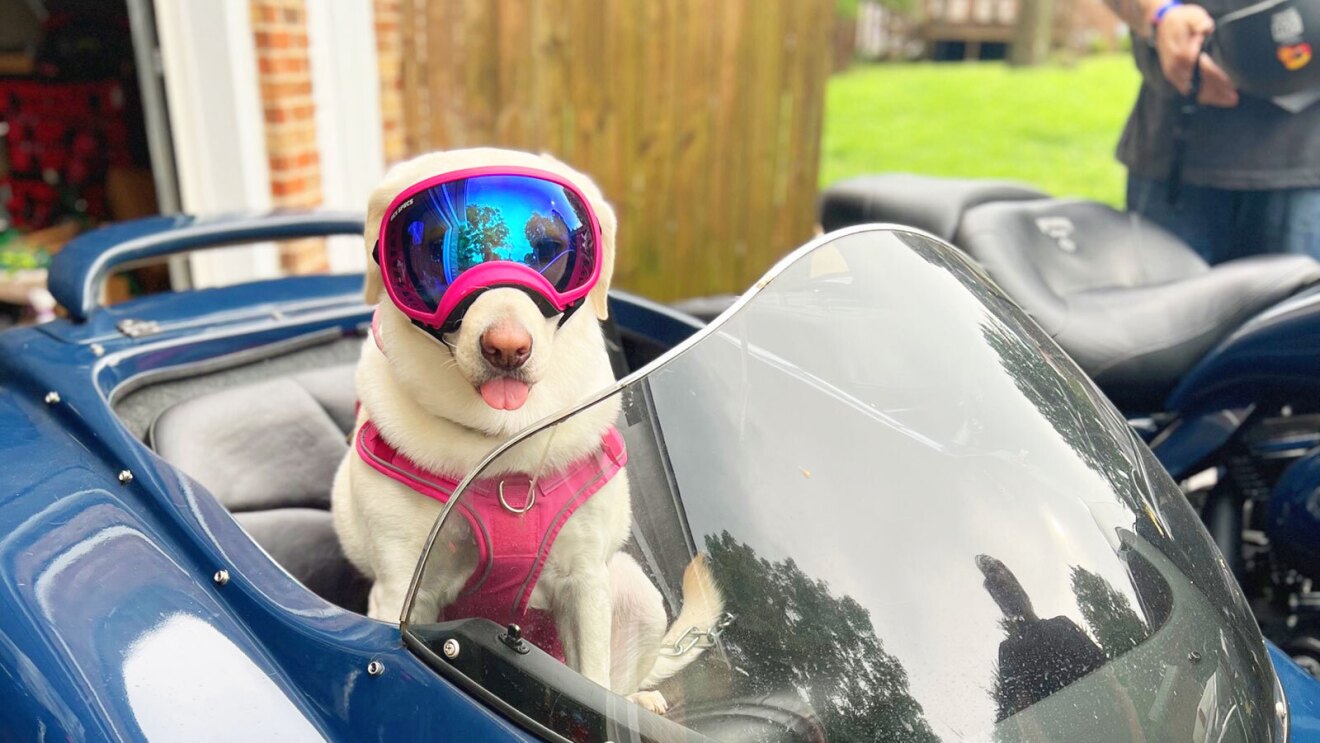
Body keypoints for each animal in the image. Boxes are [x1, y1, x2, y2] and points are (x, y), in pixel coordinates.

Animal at [328, 148, 723, 712]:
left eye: (551, 250)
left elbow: (593, 687)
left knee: (617, 683)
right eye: (434, 252)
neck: (502, 450)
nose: (507, 347)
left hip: (635, 591)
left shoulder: (584, 583)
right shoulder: (403, 589)